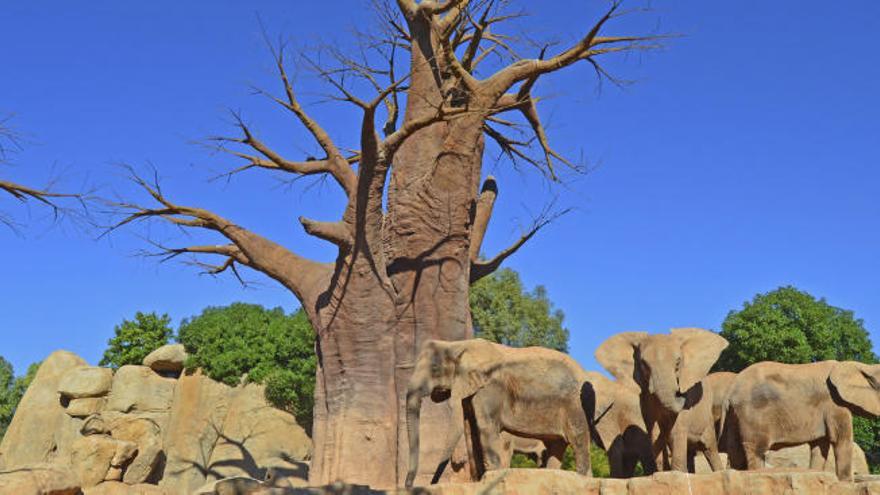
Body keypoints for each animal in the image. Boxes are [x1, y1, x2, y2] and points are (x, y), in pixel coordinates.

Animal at [404, 338, 596, 488]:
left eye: (435, 369)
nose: (409, 486)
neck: (458, 344)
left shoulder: (489, 389)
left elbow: (485, 427)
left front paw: (492, 477)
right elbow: (471, 430)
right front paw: (479, 481)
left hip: (575, 404)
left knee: (578, 438)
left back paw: (584, 478)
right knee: (556, 445)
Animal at [600, 328, 728, 474]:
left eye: (678, 362)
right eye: (644, 364)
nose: (680, 393)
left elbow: (675, 432)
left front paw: (676, 474)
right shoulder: (645, 400)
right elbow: (655, 431)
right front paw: (660, 473)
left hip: (707, 420)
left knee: (710, 449)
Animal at [720, 360, 880, 480]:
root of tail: (730, 392)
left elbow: (820, 446)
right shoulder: (835, 404)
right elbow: (841, 441)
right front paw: (845, 484)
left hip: (734, 416)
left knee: (735, 452)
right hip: (752, 414)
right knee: (756, 450)